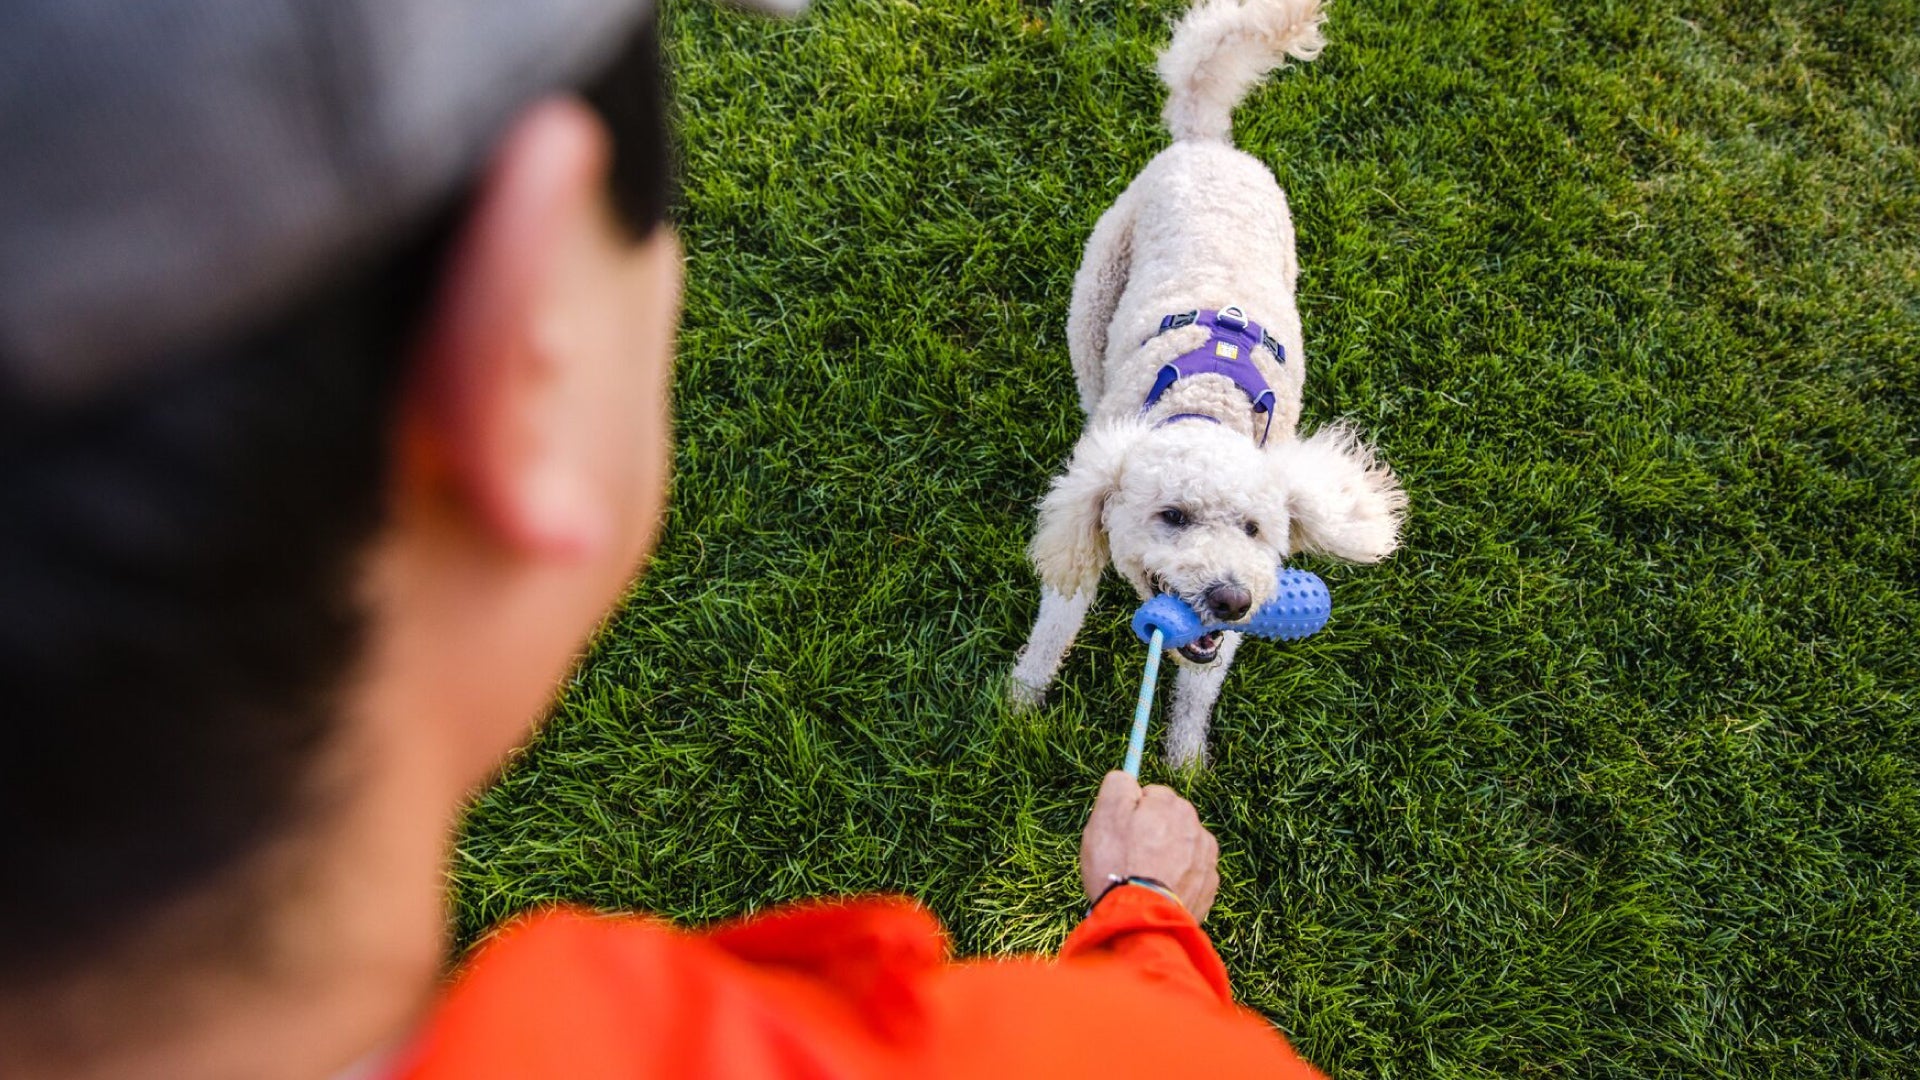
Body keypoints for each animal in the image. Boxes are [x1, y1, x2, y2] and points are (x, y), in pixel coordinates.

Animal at [1013, 0, 1405, 764]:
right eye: (1172, 516)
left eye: (1255, 530)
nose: (1232, 599)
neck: (1207, 404)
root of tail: (1209, 142)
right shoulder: (1083, 530)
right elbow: (1054, 626)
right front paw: (1016, 707)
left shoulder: (1228, 628)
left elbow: (1200, 686)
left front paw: (1185, 765)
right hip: (1096, 286)